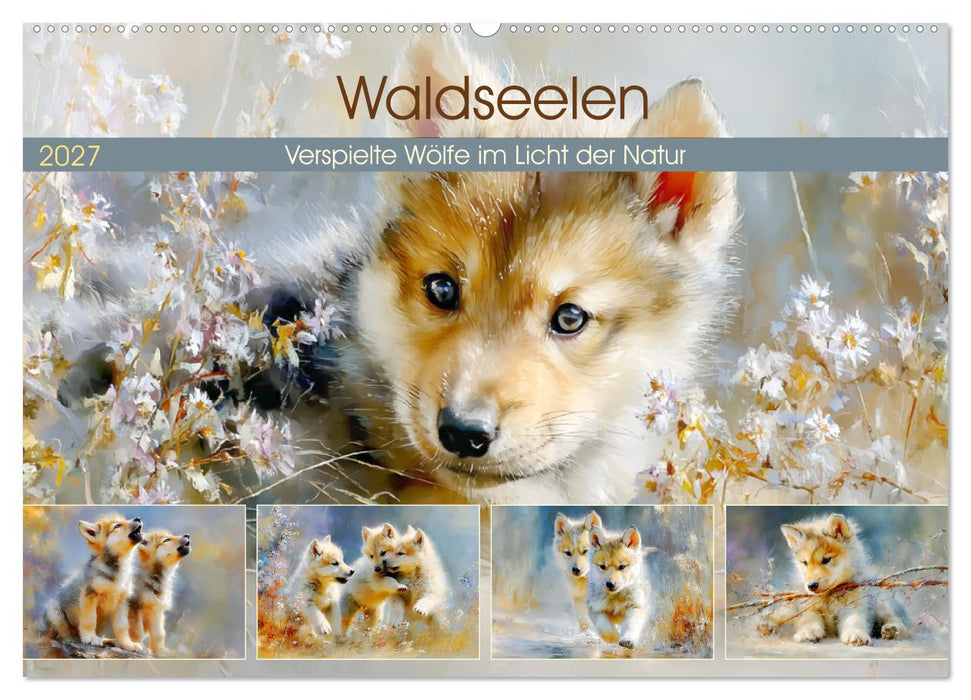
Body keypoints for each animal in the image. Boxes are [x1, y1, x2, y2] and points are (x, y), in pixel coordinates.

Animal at [46, 515, 145, 652]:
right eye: (117, 526)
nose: (138, 518)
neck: (117, 569)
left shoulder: (122, 602)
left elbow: (122, 627)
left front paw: (127, 644)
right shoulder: (89, 596)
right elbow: (90, 620)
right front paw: (90, 638)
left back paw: (111, 641)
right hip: (55, 612)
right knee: (61, 634)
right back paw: (72, 639)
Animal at [762, 513, 908, 646]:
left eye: (826, 559)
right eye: (805, 563)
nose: (811, 586)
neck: (828, 597)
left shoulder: (854, 605)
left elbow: (854, 619)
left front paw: (855, 634)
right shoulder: (806, 605)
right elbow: (807, 617)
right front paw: (808, 631)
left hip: (881, 602)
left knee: (896, 619)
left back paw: (892, 629)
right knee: (781, 614)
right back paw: (766, 625)